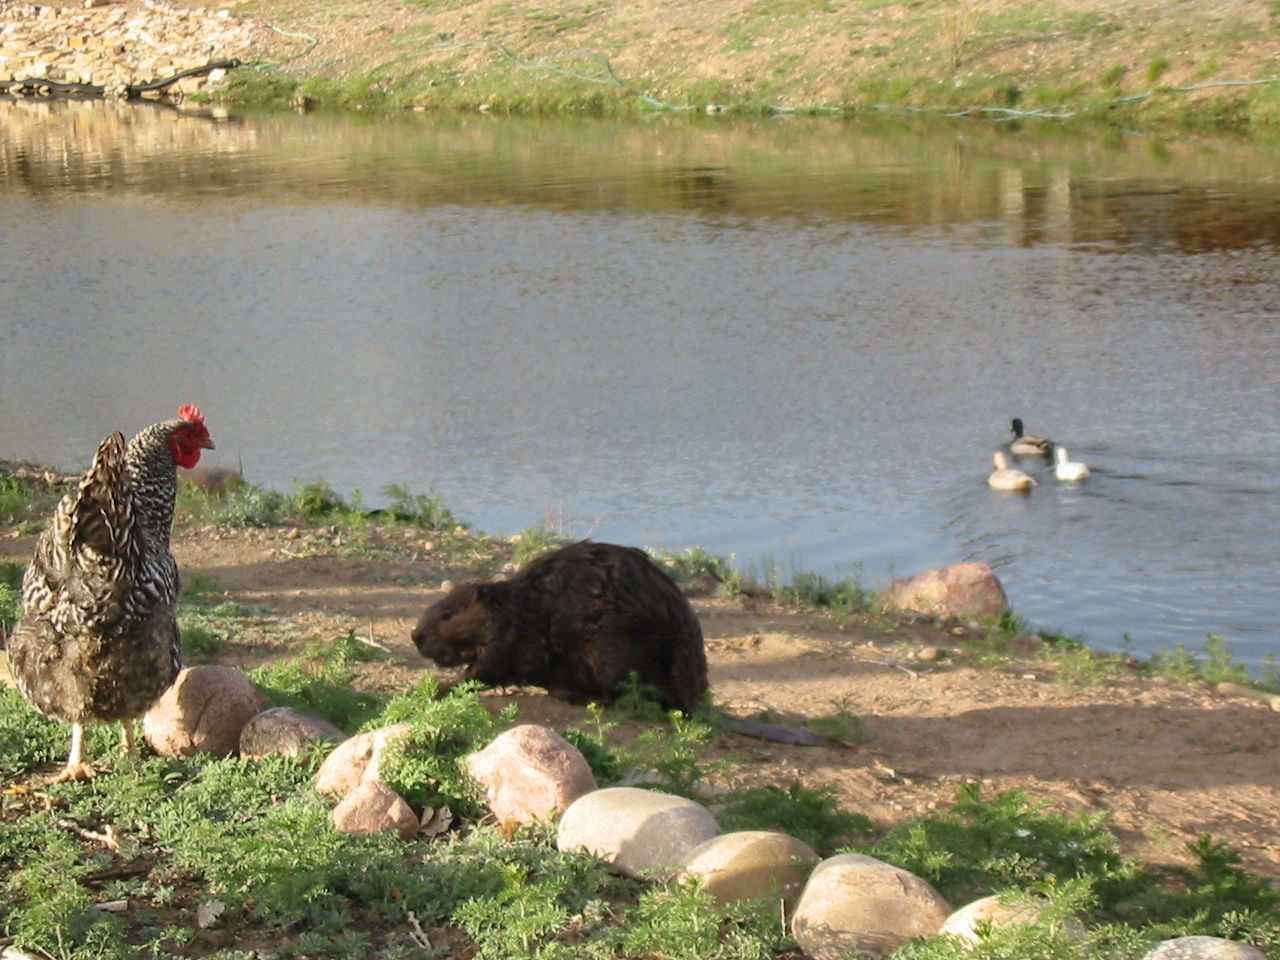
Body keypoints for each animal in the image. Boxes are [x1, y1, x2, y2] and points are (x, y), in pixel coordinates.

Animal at [414, 545, 824, 747]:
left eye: (447, 614)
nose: (416, 636)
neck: (520, 606)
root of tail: (698, 702)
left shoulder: (515, 638)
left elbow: (488, 670)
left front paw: (438, 686)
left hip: (611, 650)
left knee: (631, 698)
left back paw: (570, 694)